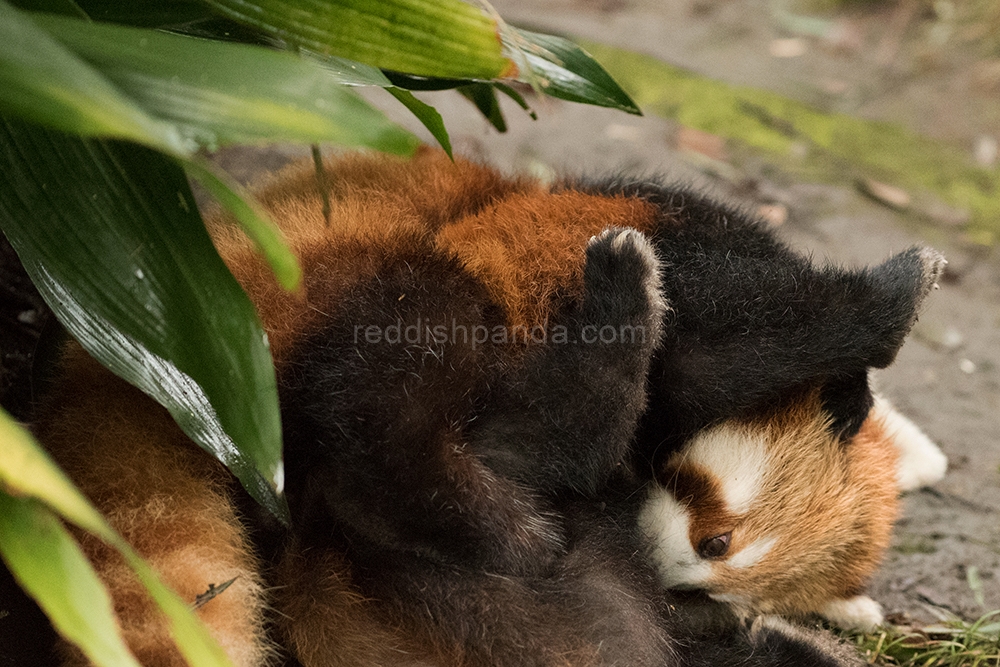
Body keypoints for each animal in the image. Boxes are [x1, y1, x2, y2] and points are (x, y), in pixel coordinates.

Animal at [23, 147, 944, 667]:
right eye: (714, 533)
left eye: (713, 576)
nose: (662, 568)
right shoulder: (678, 235)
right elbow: (743, 329)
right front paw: (881, 301)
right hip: (364, 286)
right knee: (387, 399)